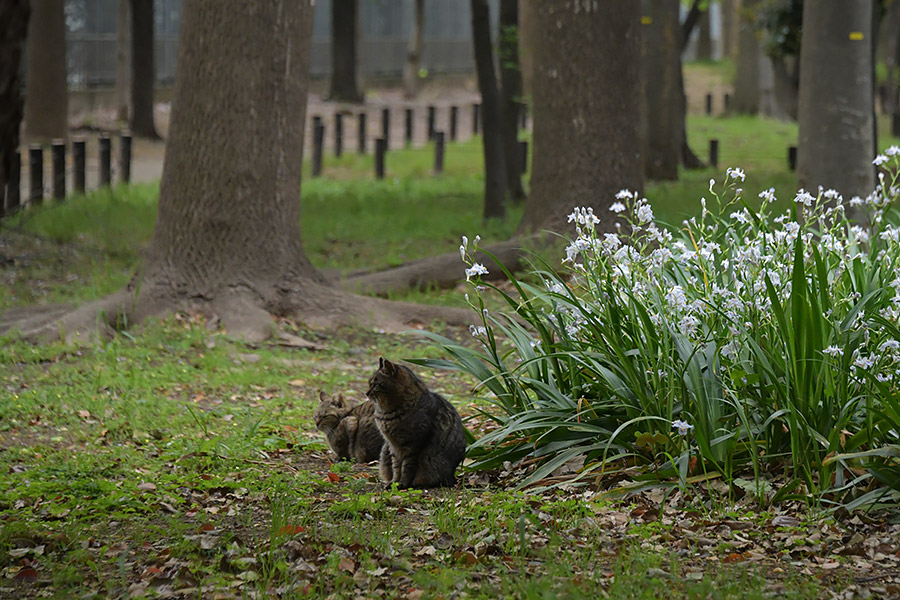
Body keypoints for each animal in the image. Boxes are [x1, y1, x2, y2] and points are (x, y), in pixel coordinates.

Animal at [366, 356, 468, 488]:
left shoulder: (412, 445)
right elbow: (396, 467)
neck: (387, 413)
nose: (366, 393)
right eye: (369, 383)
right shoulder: (393, 446)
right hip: (384, 451)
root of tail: (453, 477)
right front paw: (394, 482)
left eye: (376, 384)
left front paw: (402, 484)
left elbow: (406, 468)